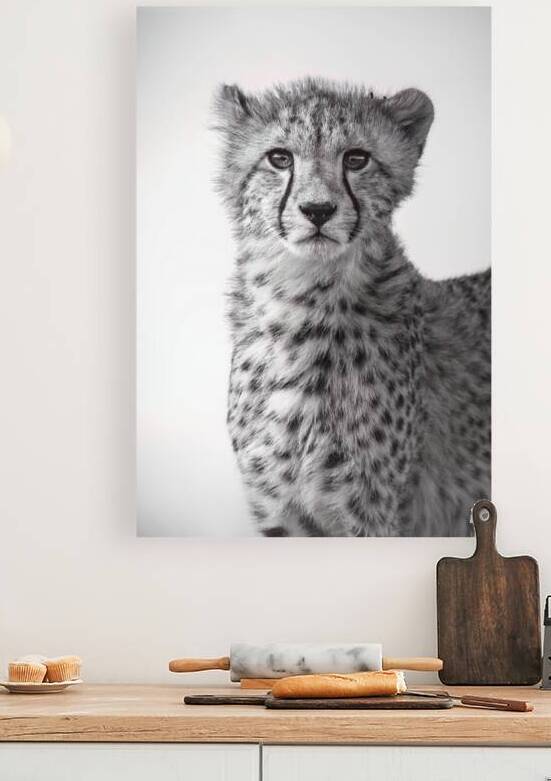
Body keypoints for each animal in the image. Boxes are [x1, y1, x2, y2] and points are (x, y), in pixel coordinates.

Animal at [213, 77, 490, 537]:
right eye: (279, 158)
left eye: (357, 159)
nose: (318, 210)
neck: (302, 304)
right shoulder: (280, 512)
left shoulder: (373, 513)